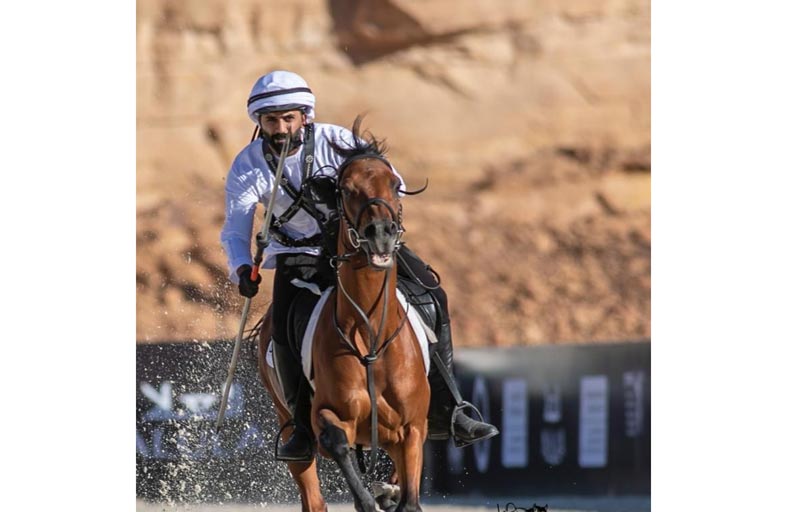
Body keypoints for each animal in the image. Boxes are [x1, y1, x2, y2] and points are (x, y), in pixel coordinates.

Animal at [256, 123, 430, 512]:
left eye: (393, 184)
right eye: (346, 189)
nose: (380, 234)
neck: (371, 337)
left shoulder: (413, 429)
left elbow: (410, 499)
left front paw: (388, 494)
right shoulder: (330, 417)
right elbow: (336, 441)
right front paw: (369, 499)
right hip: (288, 424)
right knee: (312, 495)